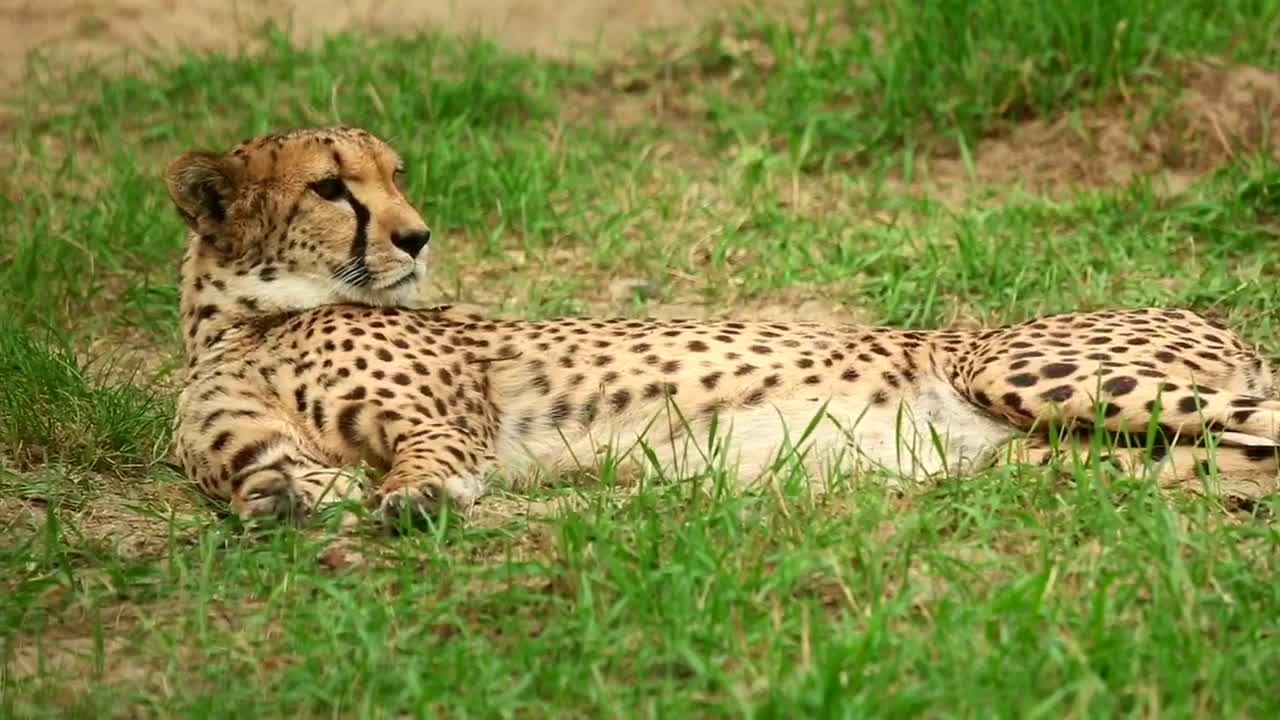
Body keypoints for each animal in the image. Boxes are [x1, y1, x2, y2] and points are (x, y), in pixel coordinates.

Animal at [164, 125, 1280, 523]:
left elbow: (427, 457)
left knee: (1257, 420)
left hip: (1025, 373)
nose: (416, 236)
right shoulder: (249, 447)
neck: (243, 323)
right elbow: (271, 482)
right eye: (329, 187)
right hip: (1058, 452)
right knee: (1226, 458)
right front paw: (296, 500)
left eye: (396, 175)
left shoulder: (455, 419)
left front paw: (412, 498)